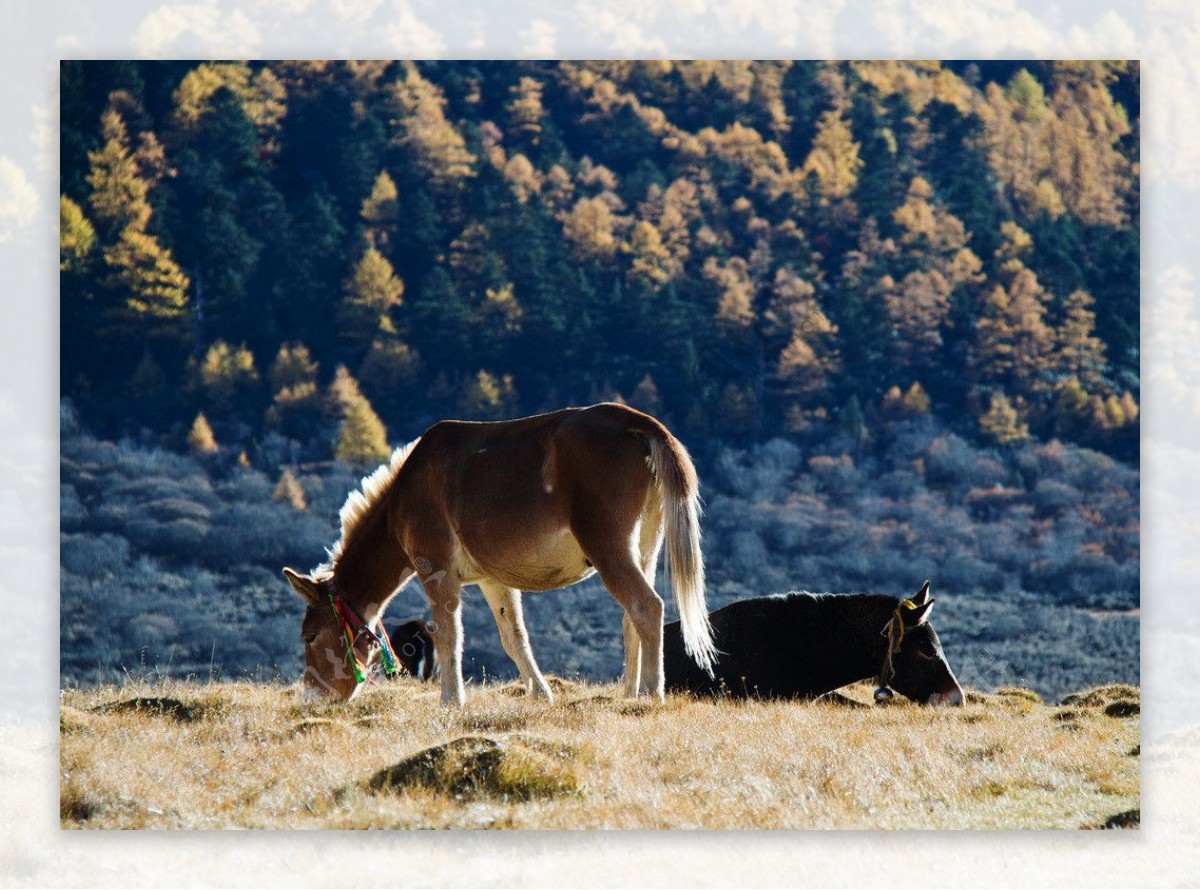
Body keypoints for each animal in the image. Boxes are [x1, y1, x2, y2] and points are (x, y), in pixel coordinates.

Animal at [283, 400, 710, 705]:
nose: (310, 698)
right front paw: (541, 694)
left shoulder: (434, 568)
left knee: (646, 606)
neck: (401, 501)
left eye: (309, 636)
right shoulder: (492, 579)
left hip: (607, 544)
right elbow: (513, 637)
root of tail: (638, 424)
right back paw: (628, 691)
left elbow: (449, 634)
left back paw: (650, 693)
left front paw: (451, 701)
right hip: (645, 544)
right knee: (631, 615)